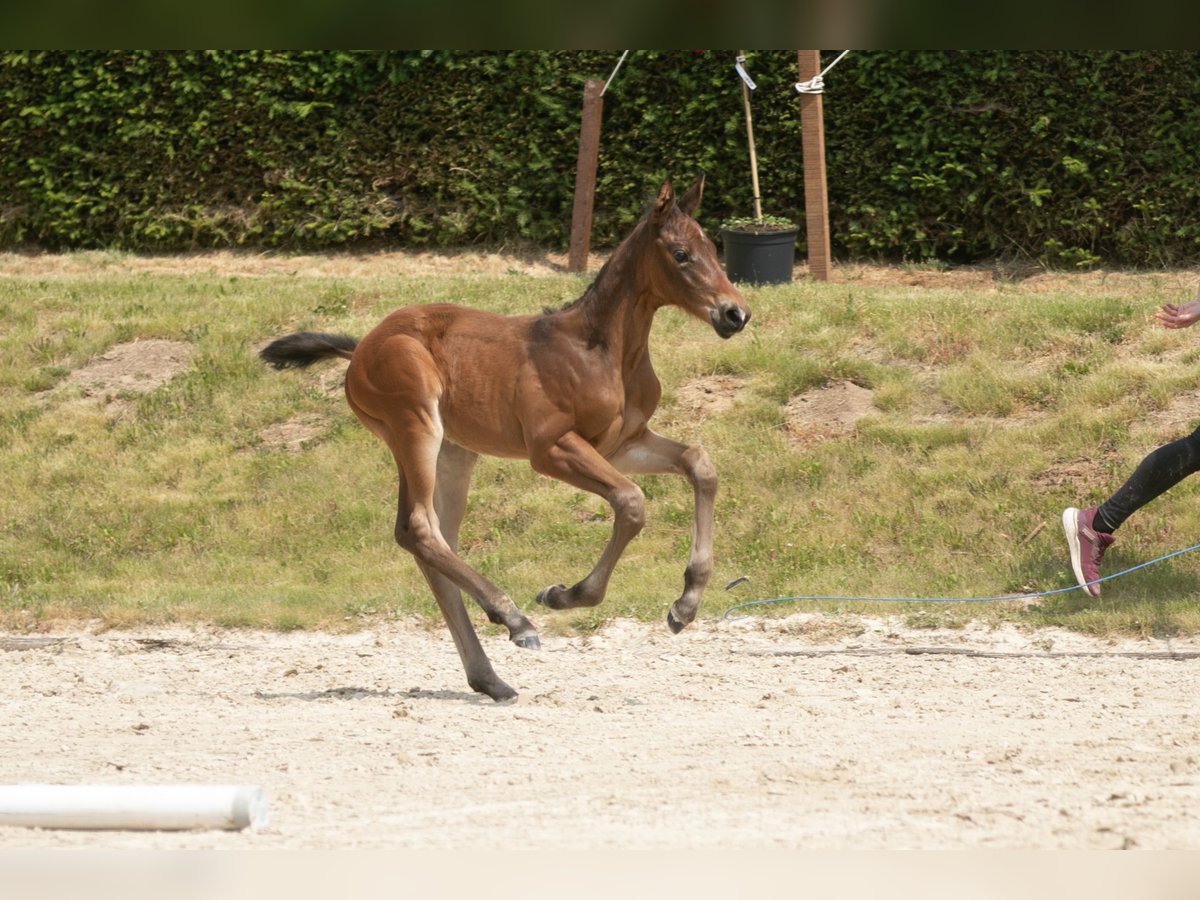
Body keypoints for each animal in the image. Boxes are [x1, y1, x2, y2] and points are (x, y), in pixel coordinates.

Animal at [262, 172, 748, 700]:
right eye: (681, 254)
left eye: (715, 249)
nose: (735, 314)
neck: (602, 349)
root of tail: (360, 348)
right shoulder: (551, 448)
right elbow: (631, 502)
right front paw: (564, 595)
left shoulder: (622, 444)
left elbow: (699, 464)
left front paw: (686, 604)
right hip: (415, 426)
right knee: (419, 528)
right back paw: (515, 621)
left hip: (454, 451)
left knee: (432, 539)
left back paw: (490, 678)